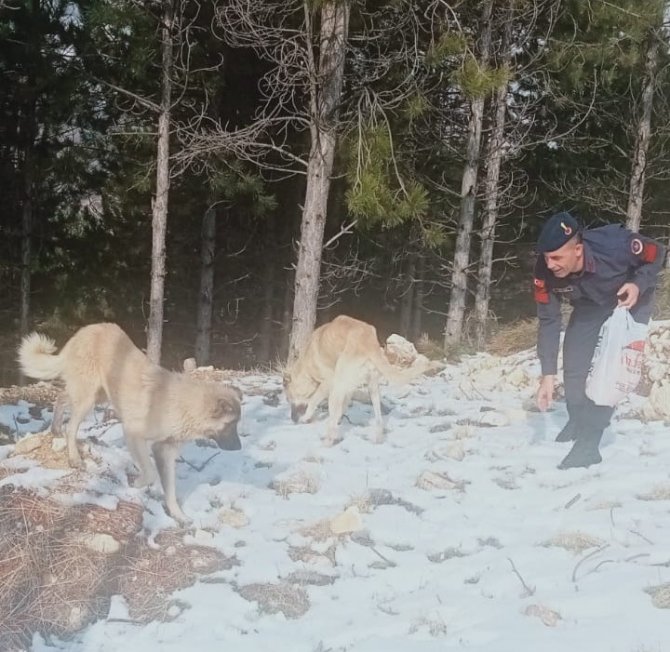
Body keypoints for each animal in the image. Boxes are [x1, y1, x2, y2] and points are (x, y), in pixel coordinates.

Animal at [16, 322, 244, 524]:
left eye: (236, 424)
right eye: (231, 424)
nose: (239, 448)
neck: (184, 406)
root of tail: (86, 330)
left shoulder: (164, 451)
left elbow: (170, 490)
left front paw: (178, 516)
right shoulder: (134, 434)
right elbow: (150, 472)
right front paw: (137, 483)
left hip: (97, 395)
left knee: (62, 398)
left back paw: (55, 428)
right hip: (88, 398)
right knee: (71, 427)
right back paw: (74, 458)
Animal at [284, 314, 440, 446]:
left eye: (289, 398)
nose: (292, 419)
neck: (305, 365)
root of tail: (367, 341)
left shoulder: (328, 384)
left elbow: (313, 402)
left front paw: (307, 417)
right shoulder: (348, 388)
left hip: (338, 387)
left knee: (333, 421)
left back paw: (327, 442)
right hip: (373, 388)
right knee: (378, 417)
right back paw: (378, 438)